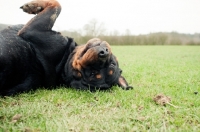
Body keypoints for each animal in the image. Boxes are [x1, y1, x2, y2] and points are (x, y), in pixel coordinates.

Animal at [0, 0, 133, 95]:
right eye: (112, 63)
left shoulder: (32, 31)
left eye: (93, 73)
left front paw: (33, 6)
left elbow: (57, 5)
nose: (103, 53)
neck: (63, 63)